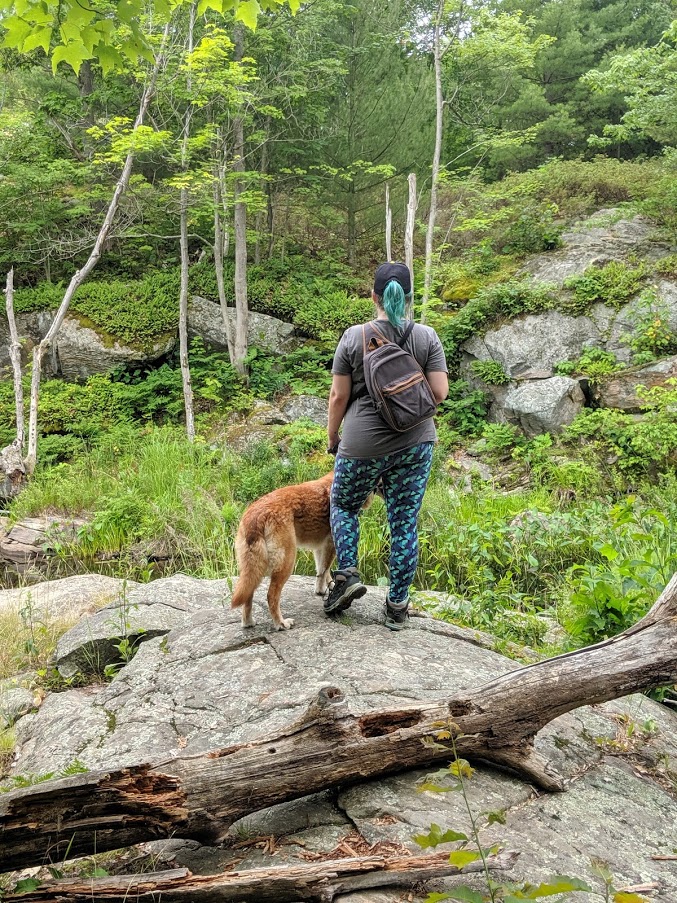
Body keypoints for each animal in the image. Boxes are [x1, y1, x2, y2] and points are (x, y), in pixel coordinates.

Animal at [232, 470, 336, 632]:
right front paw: (323, 589)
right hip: (287, 562)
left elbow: (321, 570)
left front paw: (327, 585)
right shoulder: (331, 543)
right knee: (271, 596)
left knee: (248, 596)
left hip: (252, 568)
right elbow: (324, 570)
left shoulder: (320, 547)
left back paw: (248, 622)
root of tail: (257, 516)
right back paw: (281, 623)